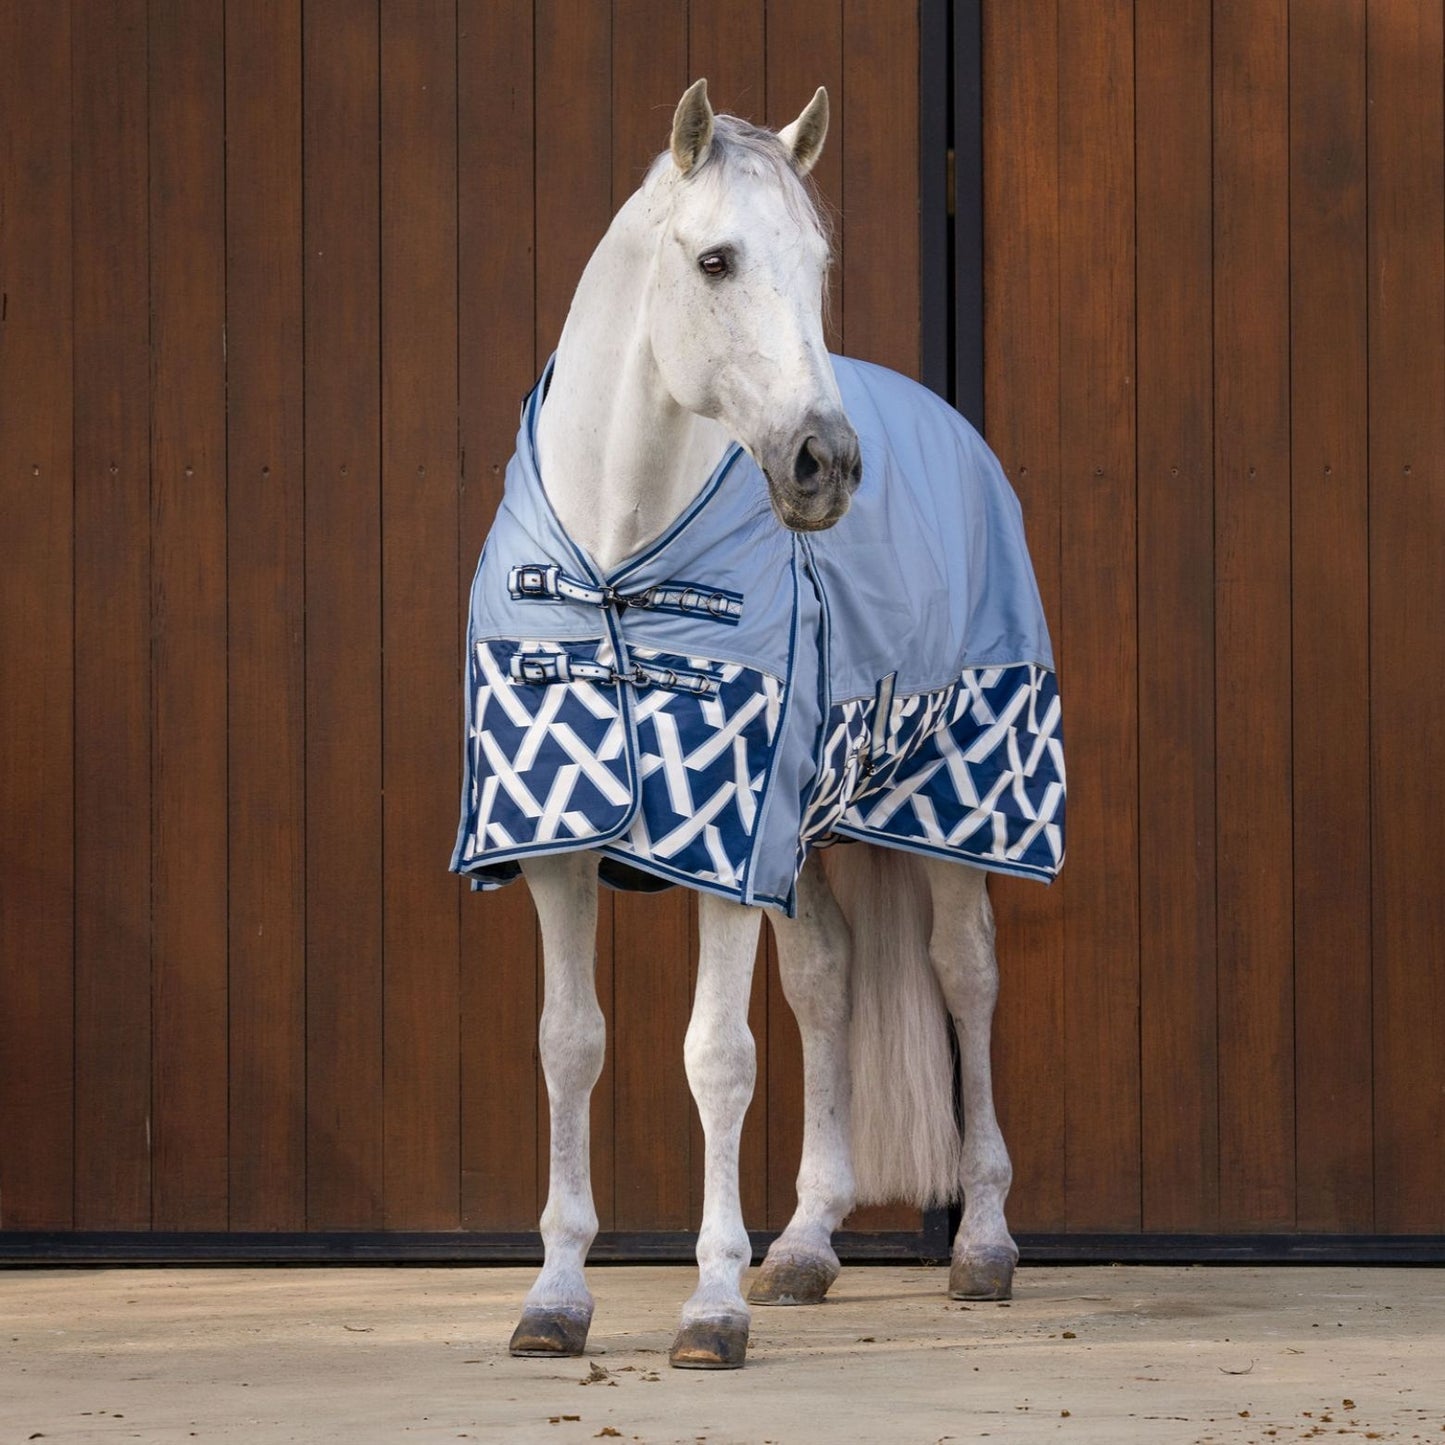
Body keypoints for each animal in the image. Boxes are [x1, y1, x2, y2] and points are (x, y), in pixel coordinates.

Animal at [452, 79, 1065, 1370]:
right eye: (716, 259)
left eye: (818, 263)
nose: (824, 463)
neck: (616, 559)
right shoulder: (558, 845)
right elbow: (567, 1043)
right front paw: (557, 1296)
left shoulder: (724, 849)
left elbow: (715, 1057)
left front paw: (711, 1306)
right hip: (812, 837)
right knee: (826, 983)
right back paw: (806, 1244)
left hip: (953, 813)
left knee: (966, 977)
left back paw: (982, 1242)